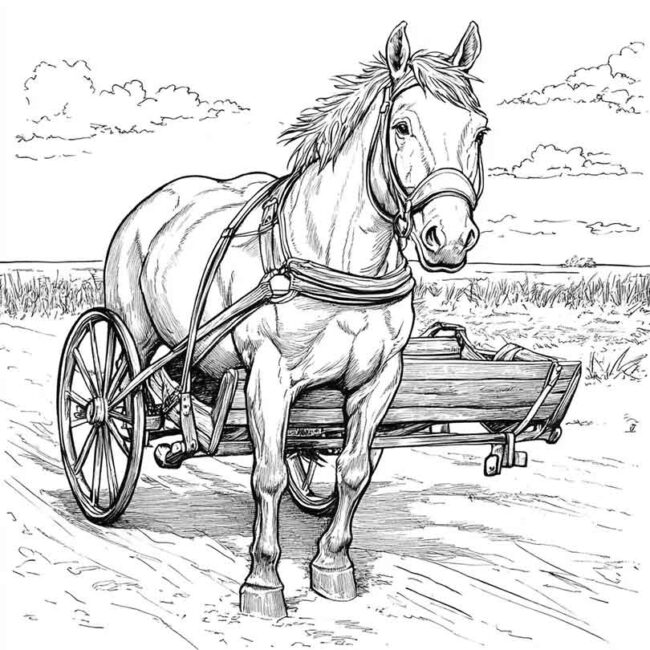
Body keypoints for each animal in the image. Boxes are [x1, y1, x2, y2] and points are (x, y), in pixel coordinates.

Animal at [104, 21, 487, 618]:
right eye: (401, 126)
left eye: (479, 133)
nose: (448, 239)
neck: (341, 263)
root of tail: (156, 203)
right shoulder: (268, 375)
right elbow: (268, 475)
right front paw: (263, 581)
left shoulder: (379, 381)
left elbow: (353, 471)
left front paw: (332, 565)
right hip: (133, 338)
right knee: (115, 399)